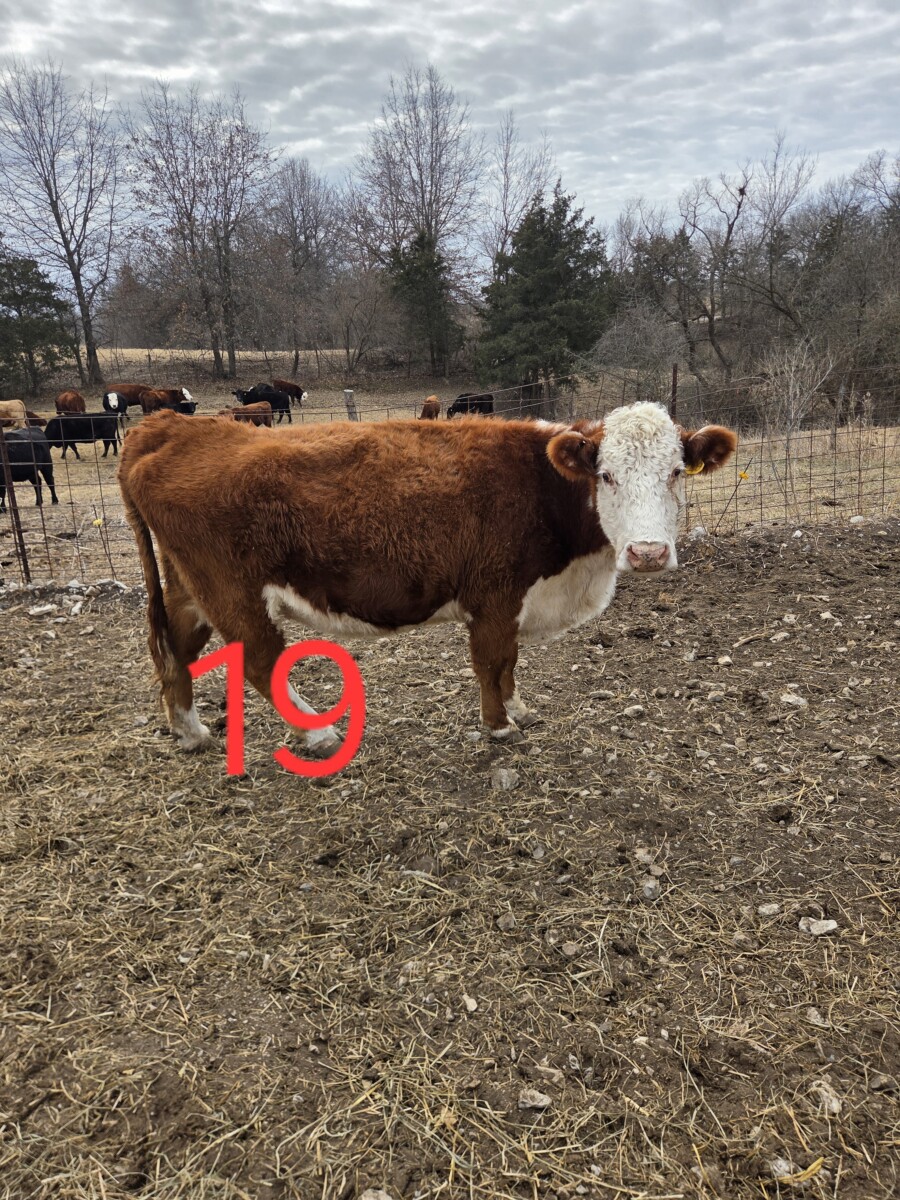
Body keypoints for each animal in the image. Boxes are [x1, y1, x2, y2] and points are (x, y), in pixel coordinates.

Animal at [119, 402, 737, 758]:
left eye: (676, 472)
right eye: (605, 475)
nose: (649, 552)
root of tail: (172, 426)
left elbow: (509, 664)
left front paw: (519, 709)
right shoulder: (494, 594)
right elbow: (493, 661)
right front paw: (499, 726)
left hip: (189, 587)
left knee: (175, 649)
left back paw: (190, 731)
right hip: (233, 591)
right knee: (259, 658)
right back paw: (316, 733)